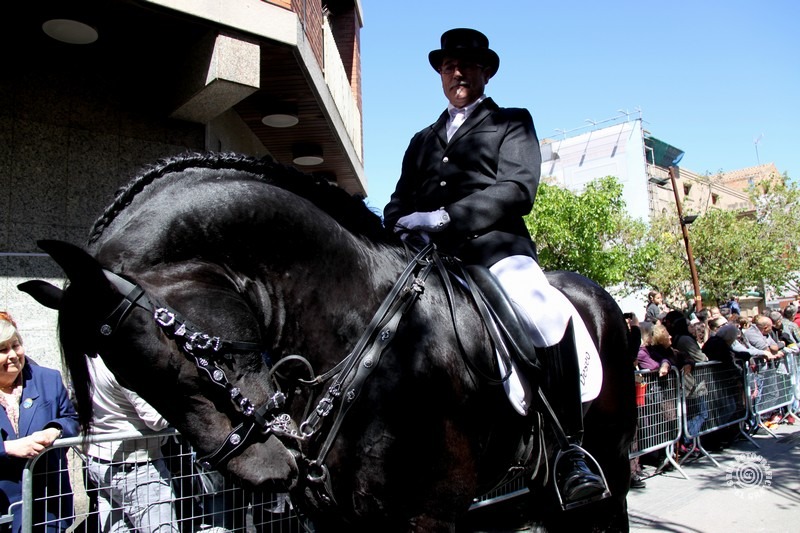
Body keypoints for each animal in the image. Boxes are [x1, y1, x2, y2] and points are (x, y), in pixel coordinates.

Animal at [20, 152, 636, 532]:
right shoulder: (341, 518)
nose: (265, 472)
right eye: (126, 381)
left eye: (175, 356)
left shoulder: (427, 515)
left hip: (610, 457)